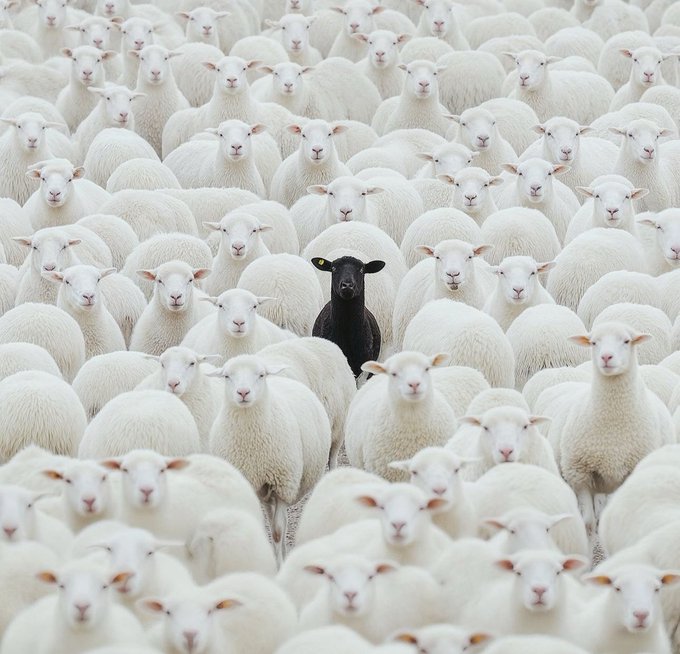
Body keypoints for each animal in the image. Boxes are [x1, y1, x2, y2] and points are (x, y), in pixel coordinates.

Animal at [207, 354, 331, 561]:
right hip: (264, 491)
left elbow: (278, 531)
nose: (243, 392)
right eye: (227, 376)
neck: (252, 446)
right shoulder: (251, 484)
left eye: (261, 375)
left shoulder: (283, 486)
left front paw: (280, 562)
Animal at [541, 321, 675, 536]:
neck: (612, 425)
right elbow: (587, 521)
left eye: (627, 341)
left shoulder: (628, 472)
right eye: (594, 342)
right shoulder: (579, 472)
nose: (606, 357)